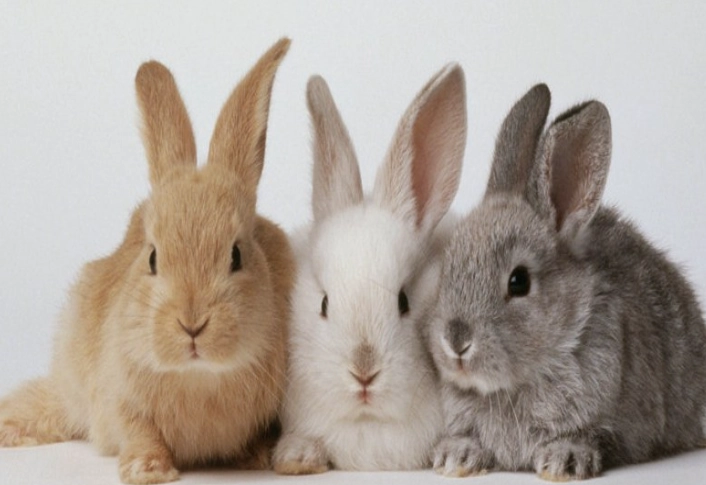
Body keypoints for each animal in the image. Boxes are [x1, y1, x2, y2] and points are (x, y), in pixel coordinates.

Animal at [0, 38, 295, 484]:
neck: (199, 377)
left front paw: (256, 456)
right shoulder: (120, 395)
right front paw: (149, 470)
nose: (192, 324)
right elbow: (139, 429)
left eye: (236, 255)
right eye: (153, 256)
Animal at [426, 84, 706, 481]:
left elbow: (589, 436)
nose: (456, 341)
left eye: (519, 281)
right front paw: (455, 457)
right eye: (448, 266)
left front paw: (564, 461)